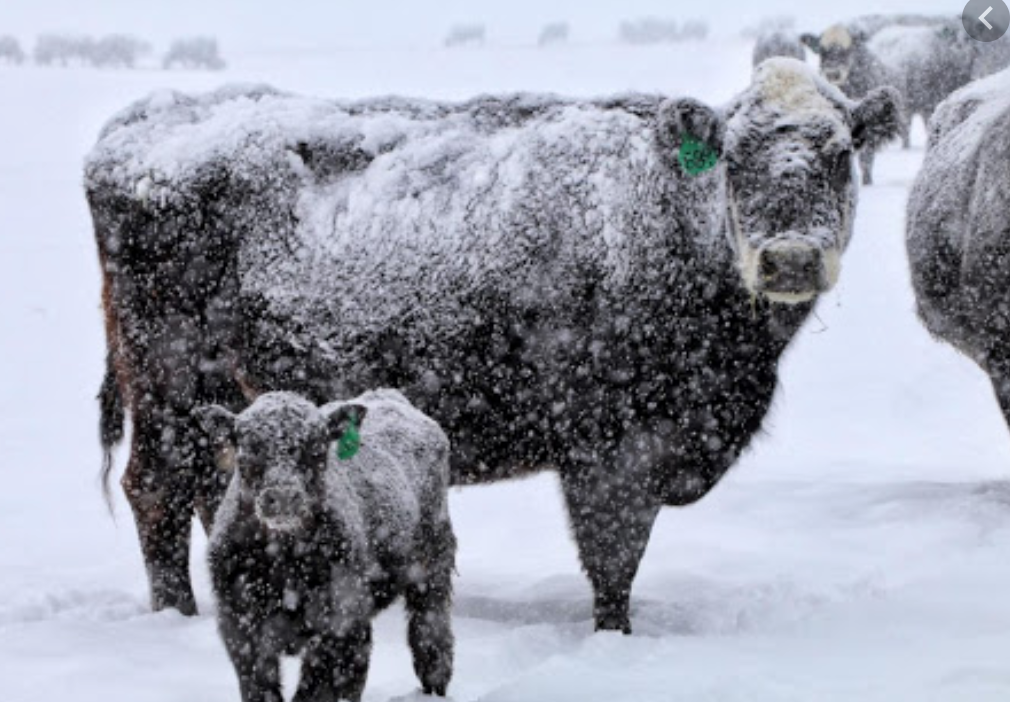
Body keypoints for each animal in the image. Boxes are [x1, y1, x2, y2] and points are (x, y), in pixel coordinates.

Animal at [87, 58, 901, 632]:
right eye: (735, 155)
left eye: (839, 154)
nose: (790, 258)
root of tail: (139, 124)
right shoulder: (611, 451)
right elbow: (613, 560)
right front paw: (613, 638)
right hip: (167, 383)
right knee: (156, 488)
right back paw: (178, 616)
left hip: (217, 399)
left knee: (209, 487)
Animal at [197, 389, 455, 702]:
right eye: (248, 450)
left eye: (317, 449)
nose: (283, 497)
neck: (285, 564)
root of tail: (389, 396)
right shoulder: (241, 630)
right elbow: (262, 689)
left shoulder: (334, 628)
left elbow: (313, 691)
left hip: (433, 562)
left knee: (430, 631)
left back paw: (435, 684)